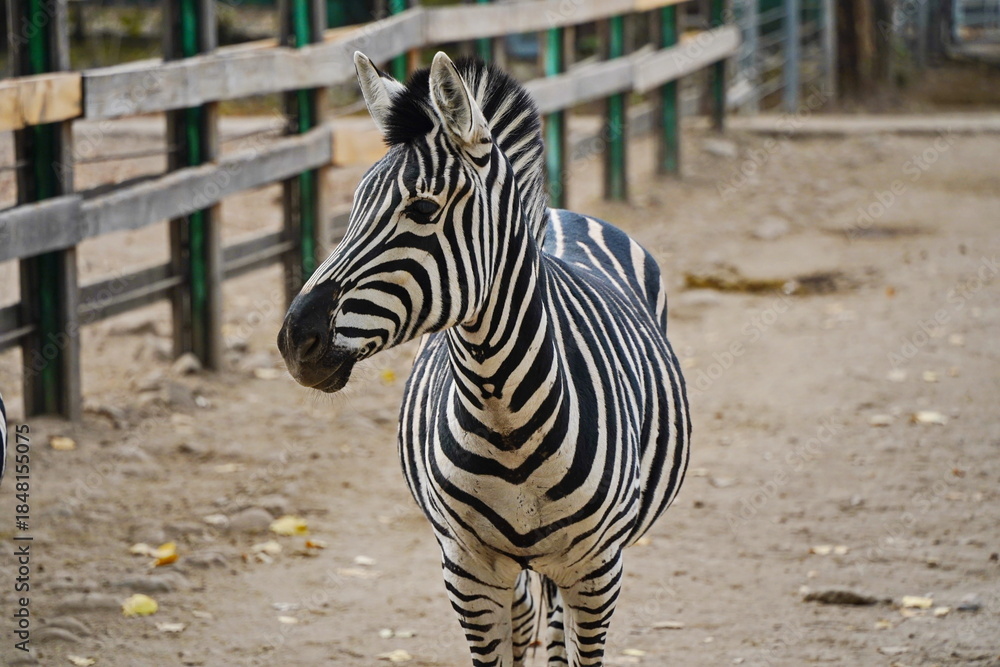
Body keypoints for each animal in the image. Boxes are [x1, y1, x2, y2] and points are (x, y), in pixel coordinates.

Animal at [278, 51, 690, 666]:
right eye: (353, 205)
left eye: (424, 208)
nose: (293, 340)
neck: (503, 408)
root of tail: (561, 214)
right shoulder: (467, 570)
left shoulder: (597, 571)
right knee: (525, 621)